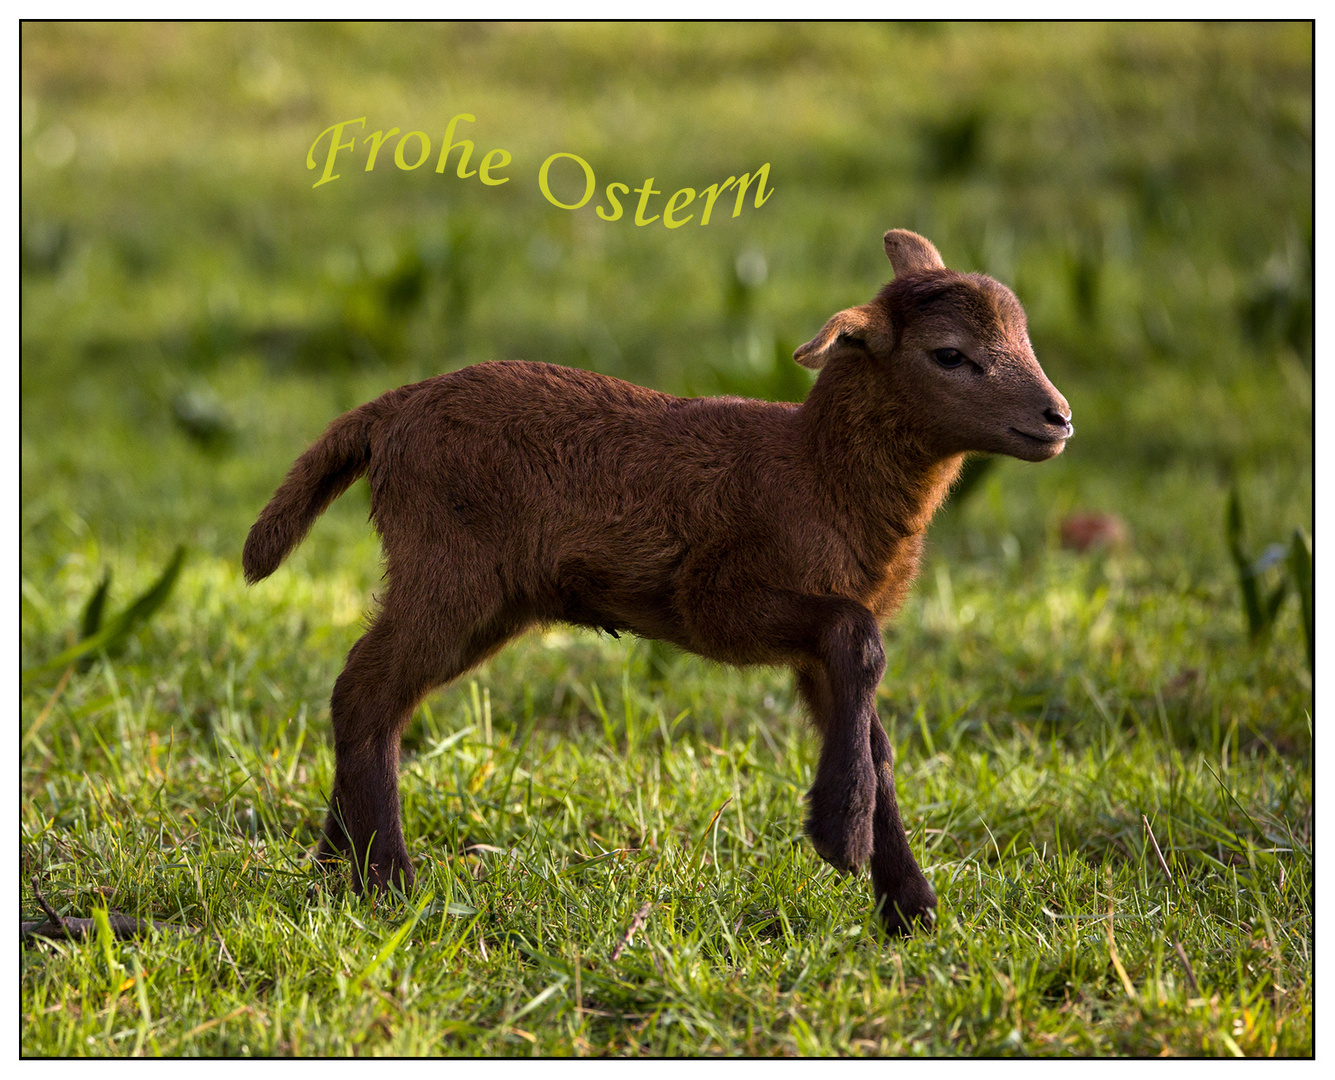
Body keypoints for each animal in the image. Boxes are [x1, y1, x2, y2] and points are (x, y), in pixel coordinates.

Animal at [242, 229, 1073, 934]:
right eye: (949, 355)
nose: (1057, 418)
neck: (816, 471)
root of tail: (389, 411)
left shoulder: (814, 652)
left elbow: (875, 733)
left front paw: (908, 905)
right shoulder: (721, 600)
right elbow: (858, 638)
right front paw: (839, 835)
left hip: (482, 596)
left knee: (372, 695)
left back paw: (334, 865)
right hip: (448, 568)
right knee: (365, 690)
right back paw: (385, 879)